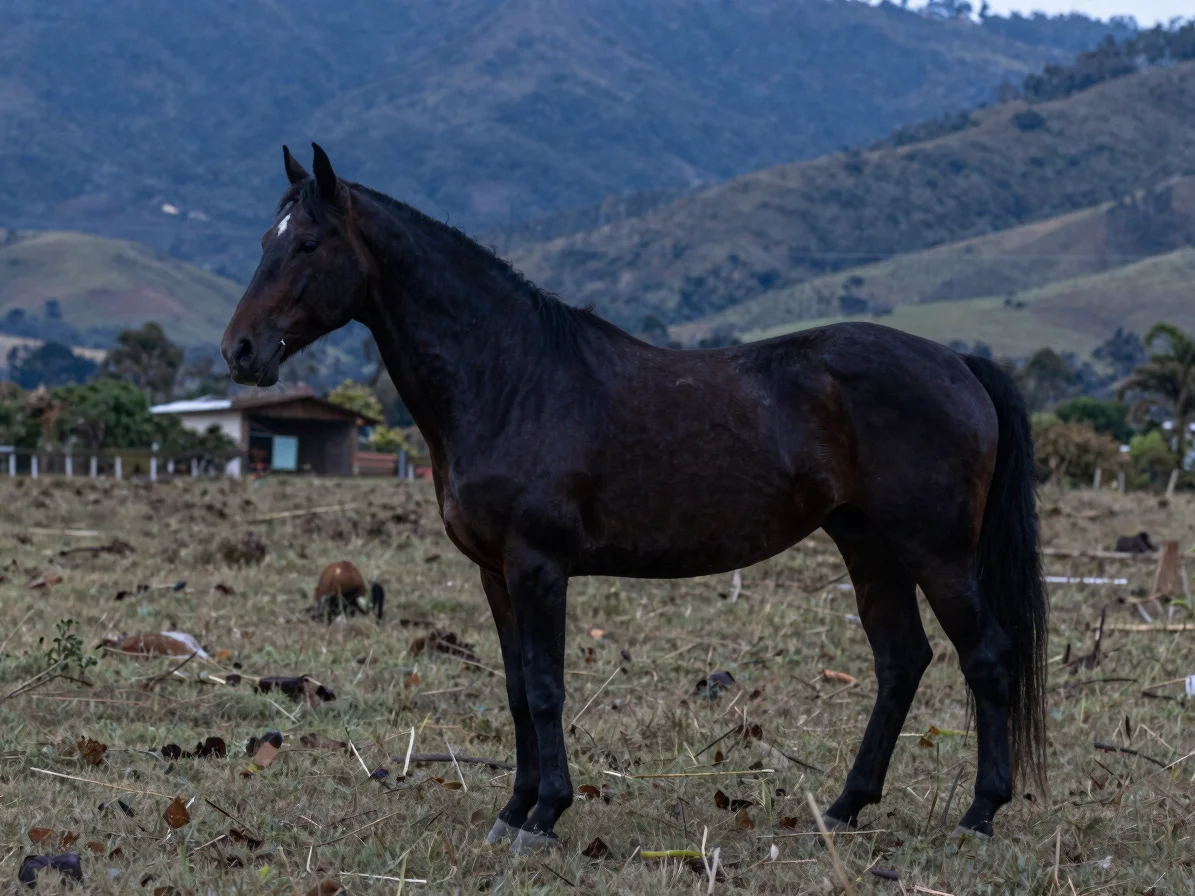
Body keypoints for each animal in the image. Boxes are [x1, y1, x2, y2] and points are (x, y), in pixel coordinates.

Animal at [221, 144, 1048, 854]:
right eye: (264, 238)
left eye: (307, 244)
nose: (240, 351)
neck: (510, 379)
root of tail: (958, 364)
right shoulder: (494, 574)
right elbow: (517, 690)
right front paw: (513, 809)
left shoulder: (538, 566)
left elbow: (546, 689)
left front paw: (545, 815)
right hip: (866, 544)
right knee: (900, 660)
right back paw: (845, 807)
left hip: (936, 552)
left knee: (985, 658)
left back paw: (978, 814)